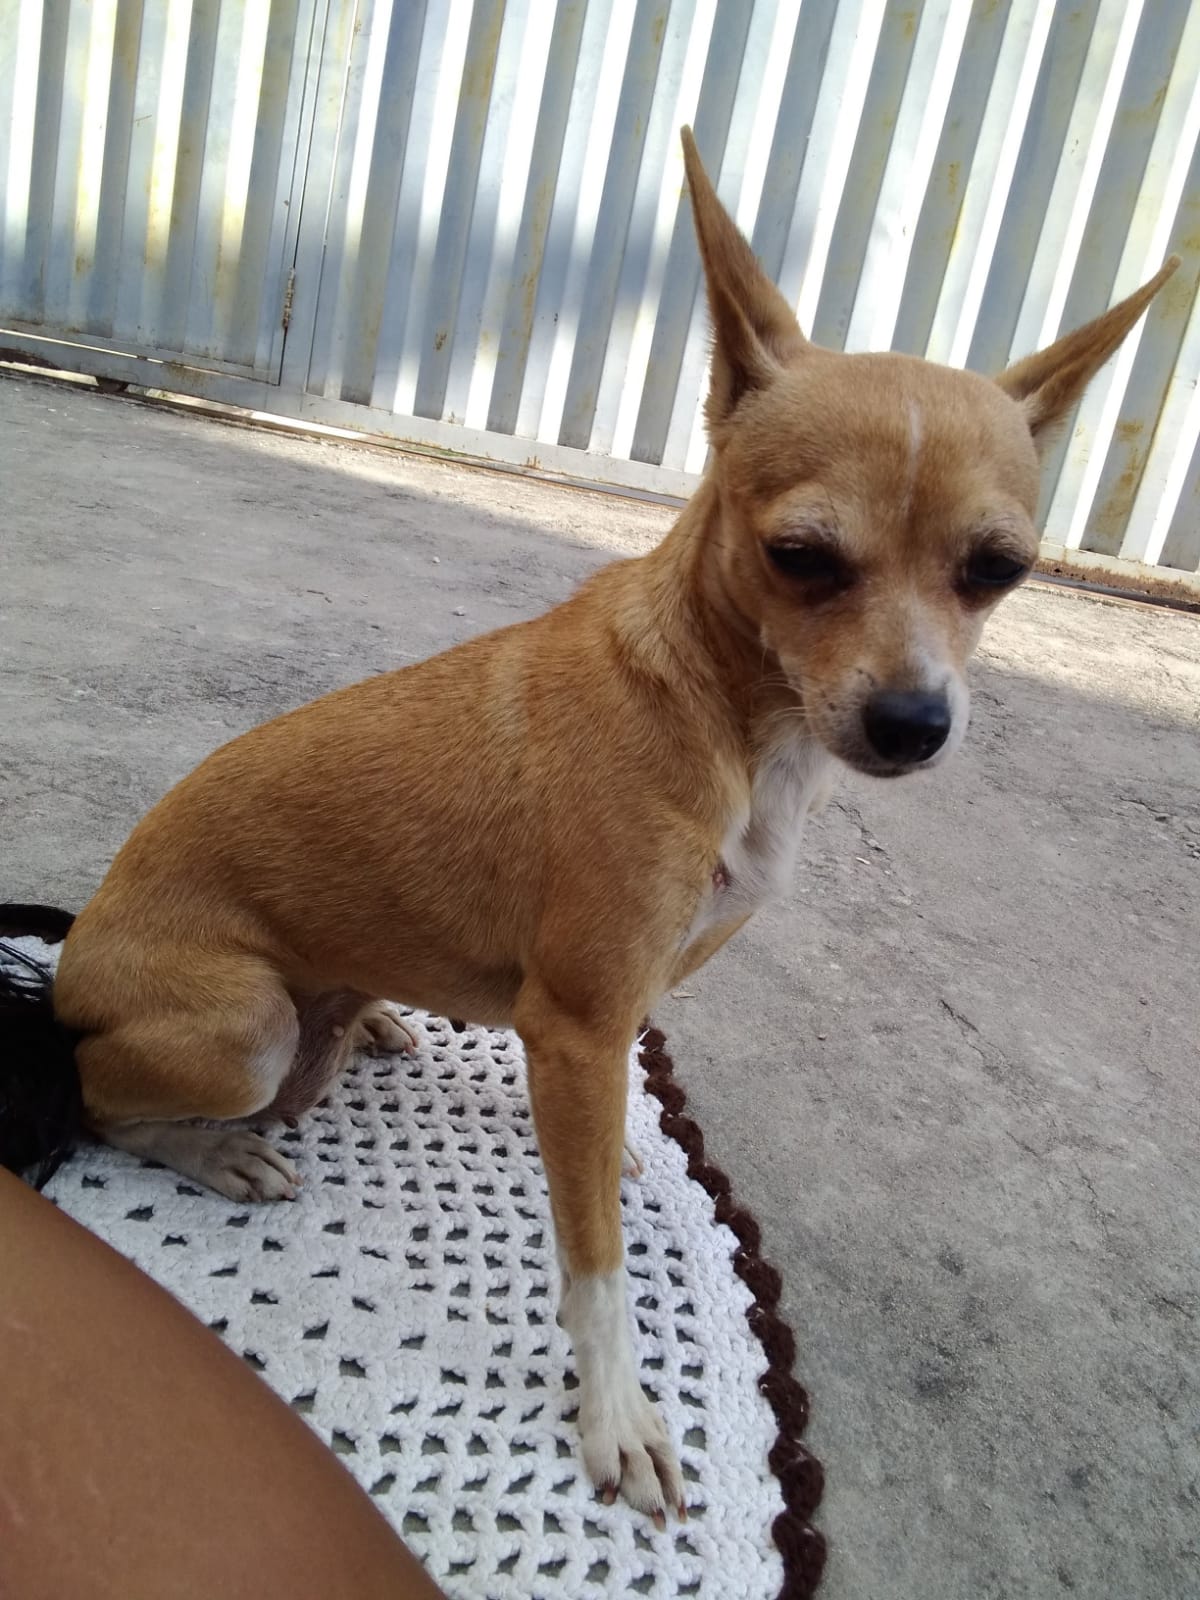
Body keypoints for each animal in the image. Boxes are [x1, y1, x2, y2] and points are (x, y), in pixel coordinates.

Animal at [0, 129, 1177, 1524]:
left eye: (999, 569)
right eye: (800, 556)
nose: (913, 722)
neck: (734, 724)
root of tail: (74, 949)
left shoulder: (623, 1014)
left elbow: (604, 1157)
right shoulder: (574, 1024)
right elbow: (597, 1265)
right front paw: (617, 1414)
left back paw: (375, 1009)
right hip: (243, 1031)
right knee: (100, 1099)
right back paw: (217, 1150)